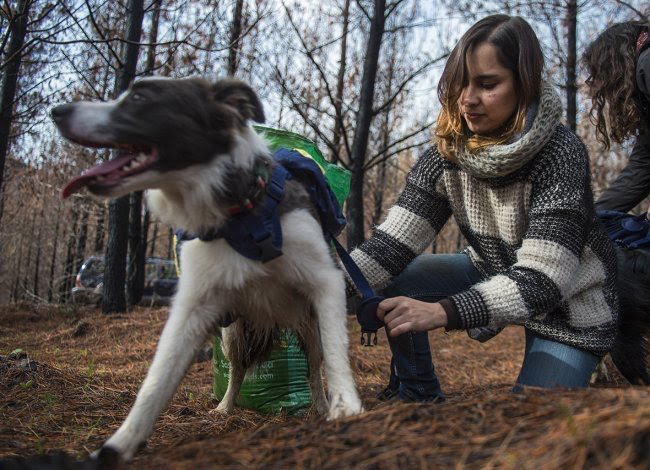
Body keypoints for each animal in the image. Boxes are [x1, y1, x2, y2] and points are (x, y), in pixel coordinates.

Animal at [49, 76, 364, 458]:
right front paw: (118, 445)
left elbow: (335, 352)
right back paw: (225, 407)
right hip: (234, 333)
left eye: (139, 97)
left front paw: (345, 406)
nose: (58, 110)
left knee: (314, 366)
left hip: (306, 324)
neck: (242, 215)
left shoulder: (324, 281)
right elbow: (155, 382)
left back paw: (319, 405)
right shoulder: (194, 308)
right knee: (239, 370)